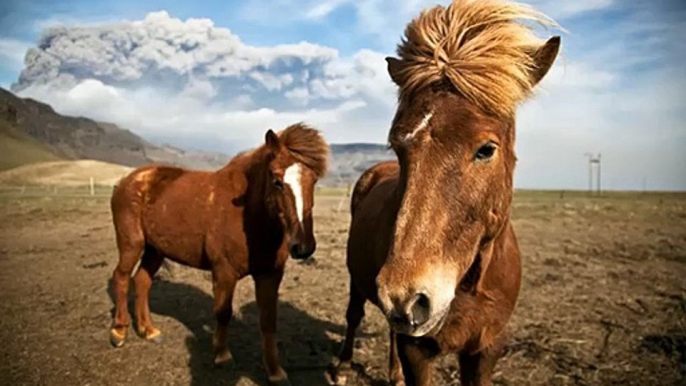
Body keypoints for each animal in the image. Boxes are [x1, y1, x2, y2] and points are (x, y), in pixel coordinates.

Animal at [110, 124, 330, 386]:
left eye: (313, 180)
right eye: (277, 181)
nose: (303, 246)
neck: (248, 216)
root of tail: (127, 180)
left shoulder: (270, 275)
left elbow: (268, 320)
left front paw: (275, 372)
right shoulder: (224, 272)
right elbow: (223, 313)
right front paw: (222, 355)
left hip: (155, 249)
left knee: (142, 281)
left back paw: (148, 330)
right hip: (132, 244)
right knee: (122, 277)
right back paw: (119, 331)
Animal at [330, 0, 560, 386]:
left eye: (486, 149)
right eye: (398, 146)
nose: (406, 298)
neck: (470, 285)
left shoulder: (486, 350)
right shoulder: (417, 352)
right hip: (357, 282)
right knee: (353, 314)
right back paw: (344, 368)